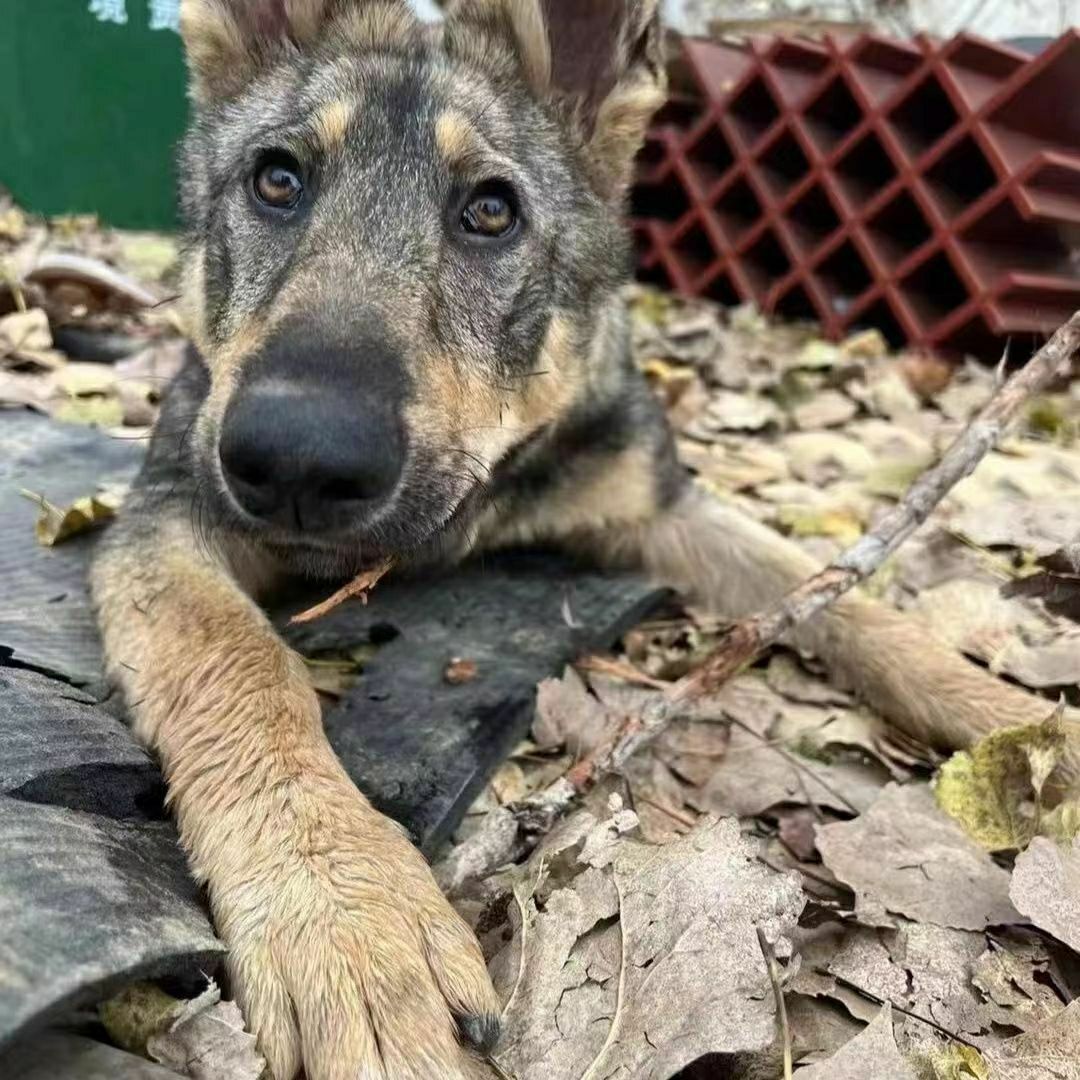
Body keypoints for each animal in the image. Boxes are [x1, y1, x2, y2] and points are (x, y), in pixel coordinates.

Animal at [90, 4, 1054, 1075]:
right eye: (277, 181)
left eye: (491, 211)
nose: (295, 459)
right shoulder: (166, 523)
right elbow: (238, 660)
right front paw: (343, 908)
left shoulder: (667, 505)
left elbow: (850, 603)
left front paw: (1016, 715)